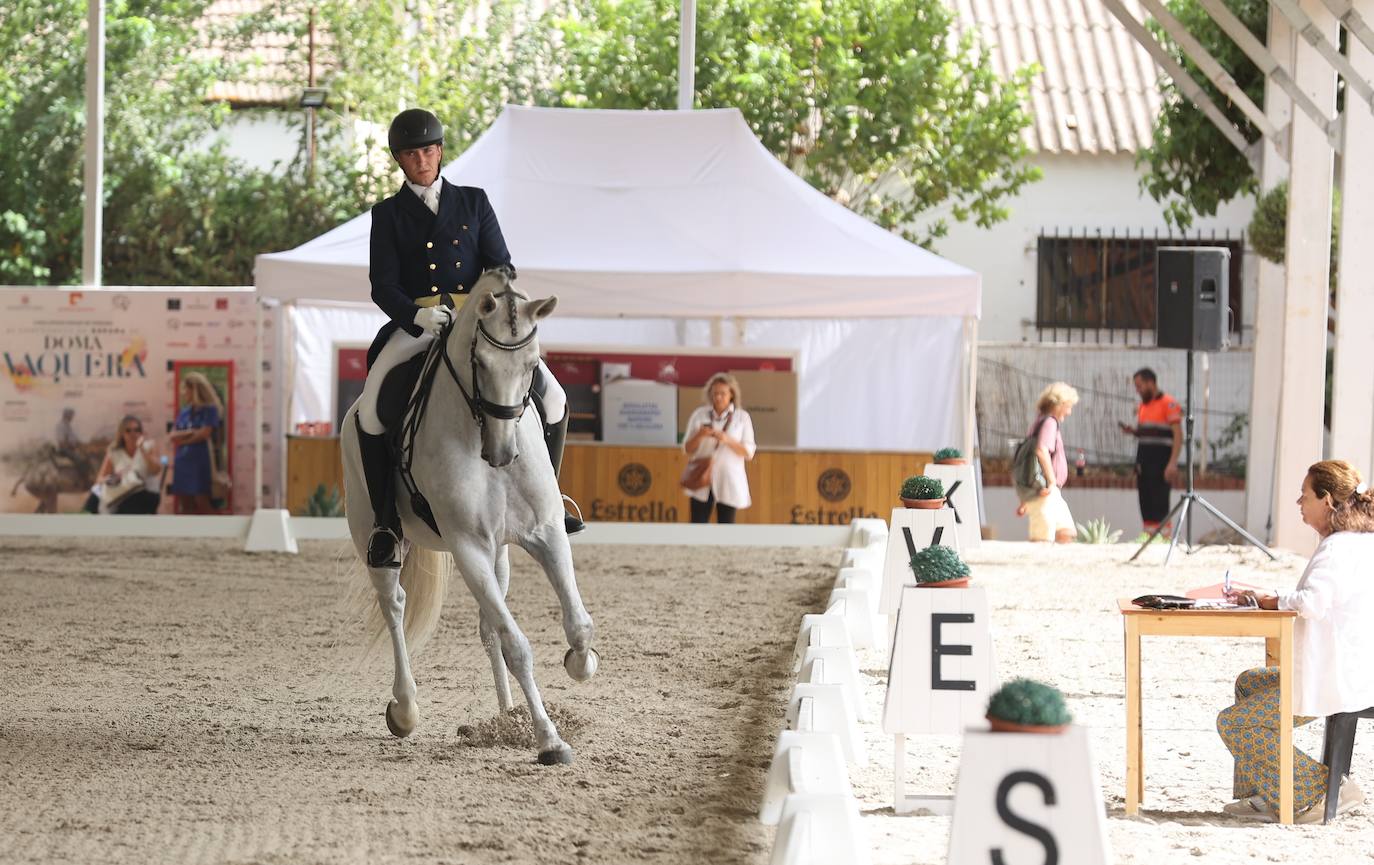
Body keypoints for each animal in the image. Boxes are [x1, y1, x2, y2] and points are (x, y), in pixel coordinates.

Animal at [340, 266, 599, 763]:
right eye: (478, 362)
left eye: (533, 365)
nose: (502, 453)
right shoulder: (469, 547)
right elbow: (518, 645)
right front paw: (550, 739)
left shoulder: (545, 533)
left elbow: (577, 624)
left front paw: (580, 663)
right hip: (373, 530)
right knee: (394, 604)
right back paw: (405, 708)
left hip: (500, 551)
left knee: (487, 626)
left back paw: (506, 715)